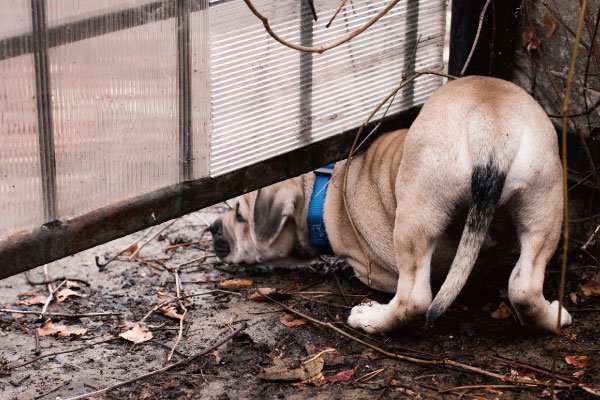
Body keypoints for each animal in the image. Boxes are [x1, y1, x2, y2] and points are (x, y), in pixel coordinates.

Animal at [211, 76, 572, 332]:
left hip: (417, 214)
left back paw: (370, 320)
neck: (321, 191)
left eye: (240, 217)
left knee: (414, 299)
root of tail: (491, 121)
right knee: (524, 286)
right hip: (545, 200)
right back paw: (553, 316)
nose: (212, 227)